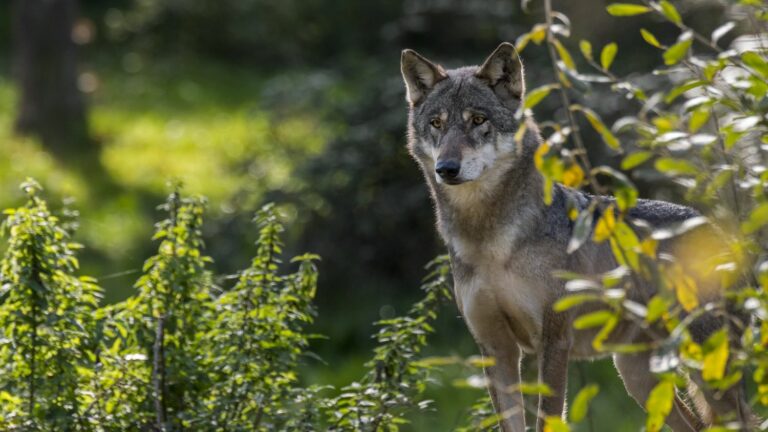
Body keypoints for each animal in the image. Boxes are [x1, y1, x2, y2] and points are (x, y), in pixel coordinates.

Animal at [400, 42, 752, 430]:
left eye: (478, 120)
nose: (446, 169)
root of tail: (718, 231)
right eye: (436, 124)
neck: (489, 241)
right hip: (638, 379)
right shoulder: (496, 350)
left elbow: (547, 418)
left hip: (709, 375)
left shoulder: (554, 342)